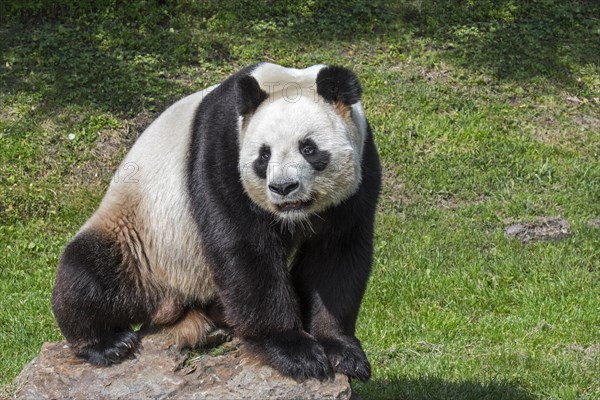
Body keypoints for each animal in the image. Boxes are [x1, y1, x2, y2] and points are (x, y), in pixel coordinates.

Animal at [50, 62, 380, 382]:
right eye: (263, 156)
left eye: (308, 148)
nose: (283, 187)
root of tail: (171, 309)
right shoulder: (222, 147)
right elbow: (243, 247)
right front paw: (294, 352)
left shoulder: (361, 170)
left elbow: (336, 252)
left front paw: (340, 349)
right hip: (142, 239)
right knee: (89, 273)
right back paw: (107, 344)